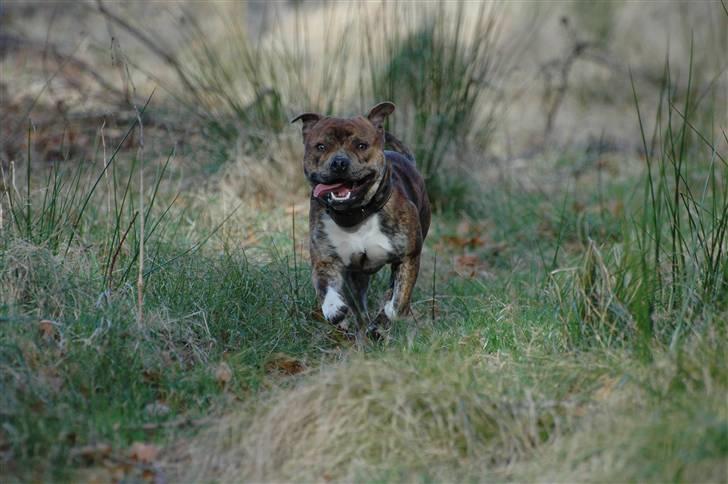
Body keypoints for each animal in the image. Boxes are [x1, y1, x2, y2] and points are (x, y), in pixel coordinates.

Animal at [292, 100, 430, 338]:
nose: (339, 162)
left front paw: (385, 317)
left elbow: (397, 303)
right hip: (356, 278)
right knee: (359, 305)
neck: (355, 214)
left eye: (361, 145)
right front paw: (334, 310)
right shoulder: (325, 259)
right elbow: (325, 288)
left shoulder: (408, 258)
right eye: (321, 147)